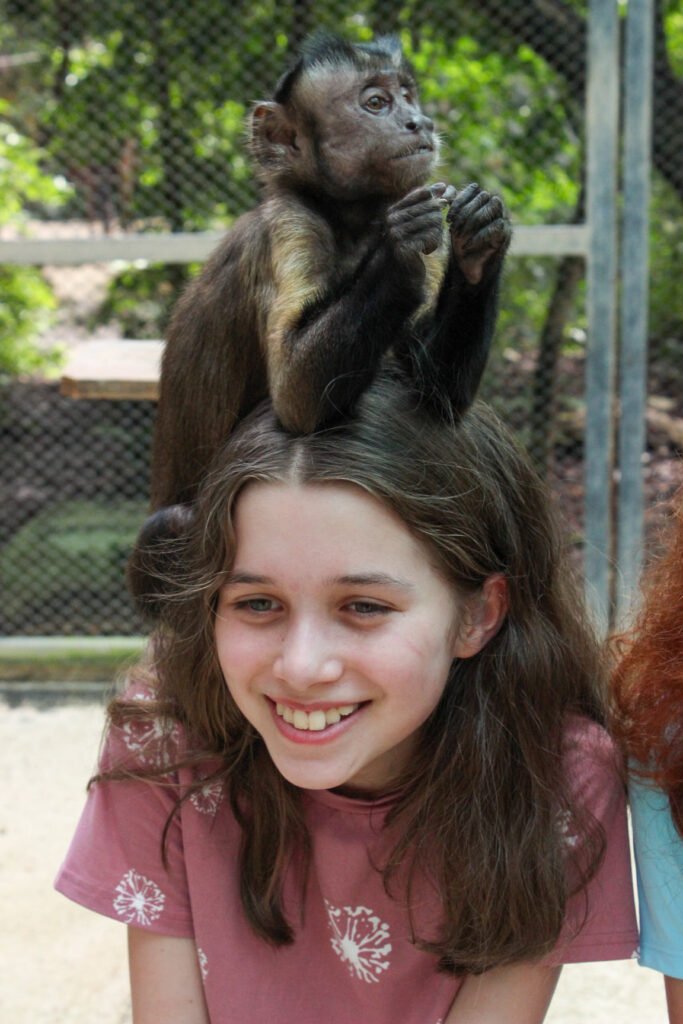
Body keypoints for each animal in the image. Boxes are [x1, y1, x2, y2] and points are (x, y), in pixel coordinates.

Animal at [129, 32, 511, 615]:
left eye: (407, 95)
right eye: (375, 103)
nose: (418, 122)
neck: (349, 222)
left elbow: (436, 391)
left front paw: (479, 239)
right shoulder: (289, 225)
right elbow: (297, 396)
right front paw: (399, 248)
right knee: (170, 524)